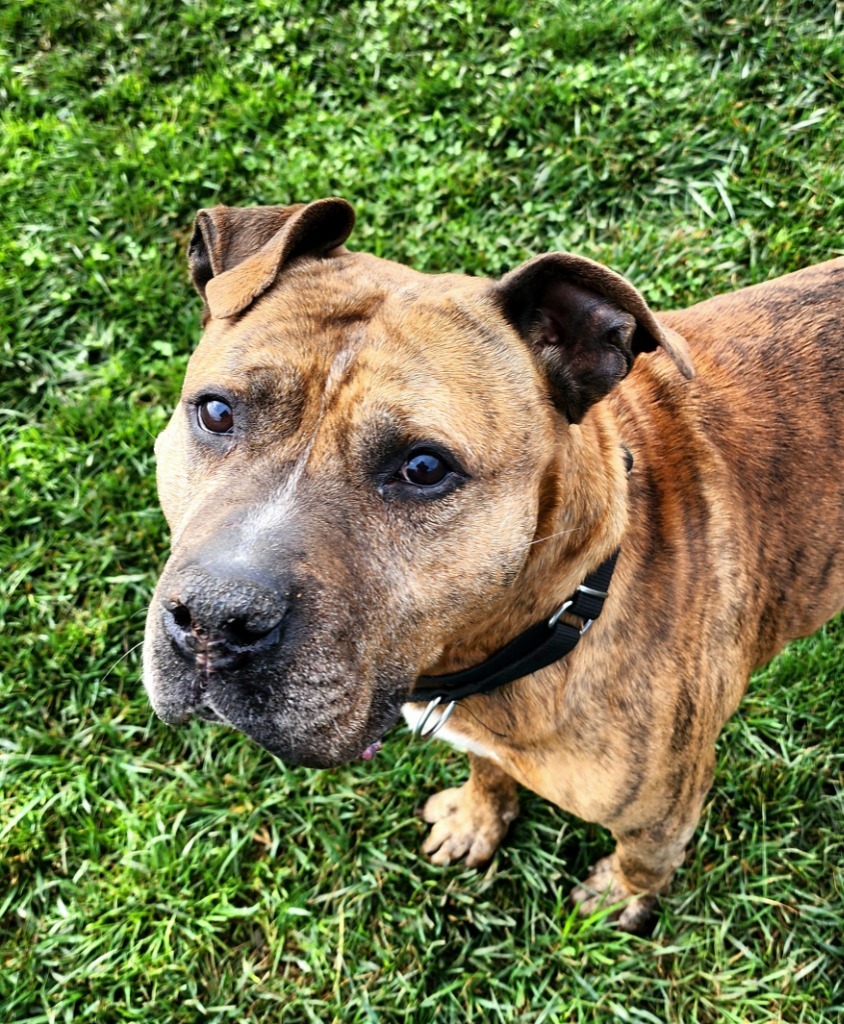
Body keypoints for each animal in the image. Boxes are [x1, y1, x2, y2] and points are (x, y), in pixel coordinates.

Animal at [145, 195, 844, 933]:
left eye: (424, 467)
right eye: (216, 412)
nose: (214, 618)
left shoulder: (662, 815)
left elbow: (642, 862)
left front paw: (619, 897)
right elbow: (489, 771)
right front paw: (476, 817)